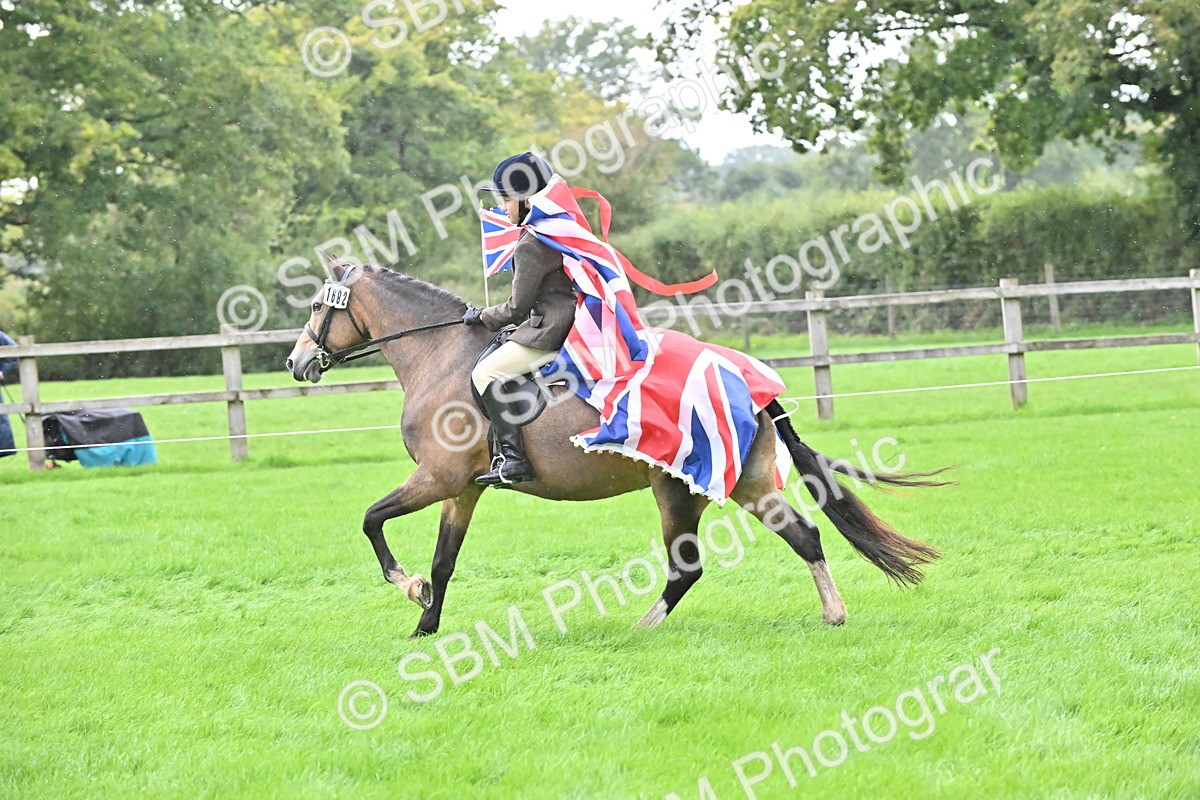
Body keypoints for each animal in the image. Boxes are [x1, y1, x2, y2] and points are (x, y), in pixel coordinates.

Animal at [285, 253, 949, 638]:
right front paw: (425, 621)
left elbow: (371, 520)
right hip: (741, 482)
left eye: (319, 305)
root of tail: (743, 377)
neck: (441, 355)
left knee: (694, 564)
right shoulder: (461, 491)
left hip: (687, 485)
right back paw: (826, 615)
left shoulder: (437, 478)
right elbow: (445, 560)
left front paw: (408, 587)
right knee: (797, 536)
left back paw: (643, 627)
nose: (295, 363)